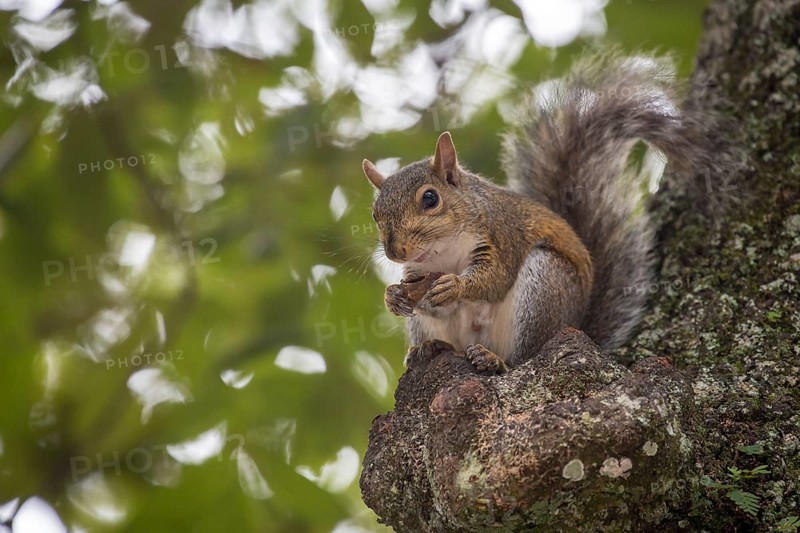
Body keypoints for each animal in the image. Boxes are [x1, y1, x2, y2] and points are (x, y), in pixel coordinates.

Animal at [361, 53, 716, 374]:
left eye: (430, 199)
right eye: (376, 214)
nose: (396, 251)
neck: (443, 251)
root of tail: (579, 326)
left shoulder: (502, 235)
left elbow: (496, 278)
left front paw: (456, 286)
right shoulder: (418, 273)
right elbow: (423, 297)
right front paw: (393, 296)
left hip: (544, 286)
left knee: (523, 358)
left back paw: (495, 360)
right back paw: (430, 347)